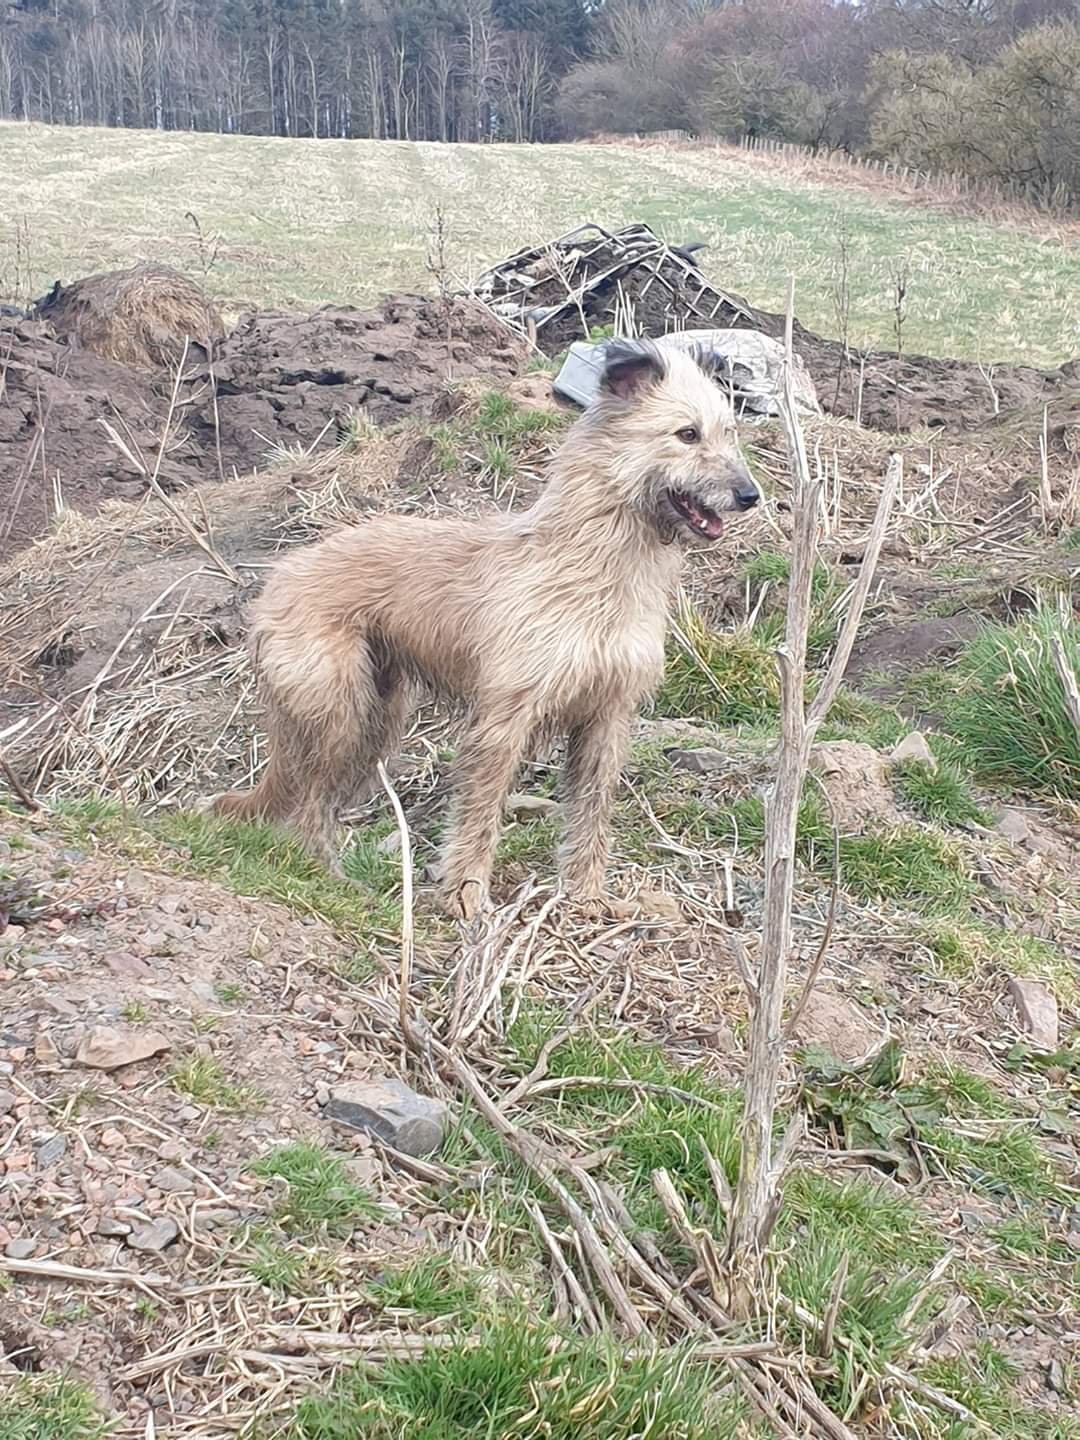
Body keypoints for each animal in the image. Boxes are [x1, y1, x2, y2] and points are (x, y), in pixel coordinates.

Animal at [204, 339, 760, 910]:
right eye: (687, 434)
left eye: (729, 432)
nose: (750, 495)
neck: (596, 566)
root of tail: (280, 577)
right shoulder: (503, 721)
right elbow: (480, 812)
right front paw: (465, 894)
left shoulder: (607, 718)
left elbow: (591, 812)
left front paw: (586, 897)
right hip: (337, 710)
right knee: (311, 803)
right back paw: (331, 875)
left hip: (378, 720)